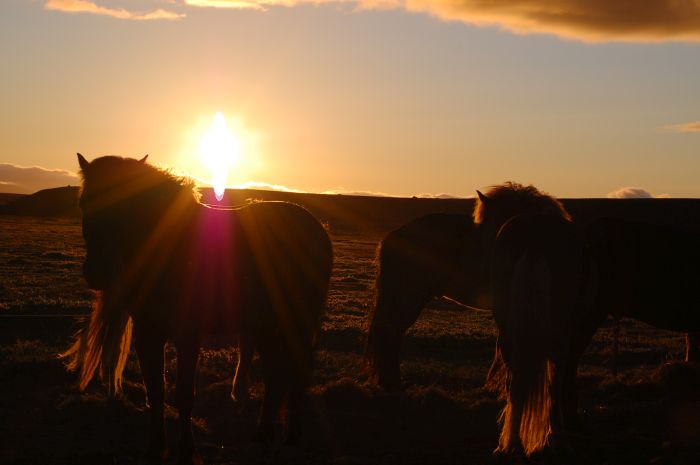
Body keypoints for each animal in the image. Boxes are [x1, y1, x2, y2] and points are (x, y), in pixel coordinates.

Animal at [61, 155, 332, 464]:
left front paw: (187, 451)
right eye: (85, 202)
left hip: (294, 322)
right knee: (277, 375)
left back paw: (283, 437)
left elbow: (184, 395)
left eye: (127, 202)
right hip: (266, 325)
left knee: (292, 373)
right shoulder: (148, 333)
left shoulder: (188, 335)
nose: (98, 273)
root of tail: (316, 227)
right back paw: (267, 436)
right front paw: (156, 448)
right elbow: (156, 390)